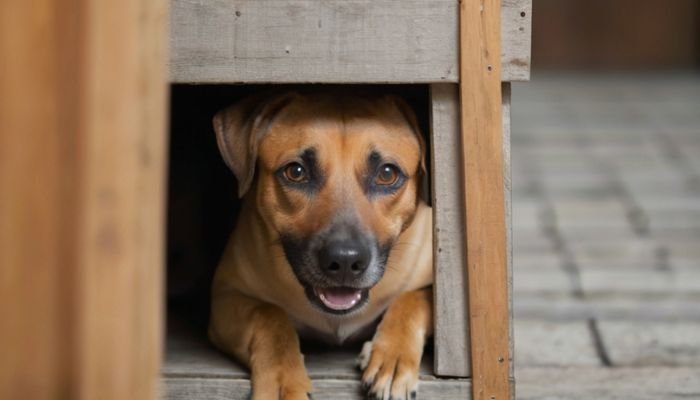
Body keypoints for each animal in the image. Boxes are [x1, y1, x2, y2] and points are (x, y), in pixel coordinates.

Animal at [209, 91, 432, 400]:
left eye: (387, 173)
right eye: (296, 171)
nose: (345, 261)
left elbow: (414, 298)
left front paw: (393, 358)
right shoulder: (225, 296)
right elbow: (268, 314)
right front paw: (282, 380)